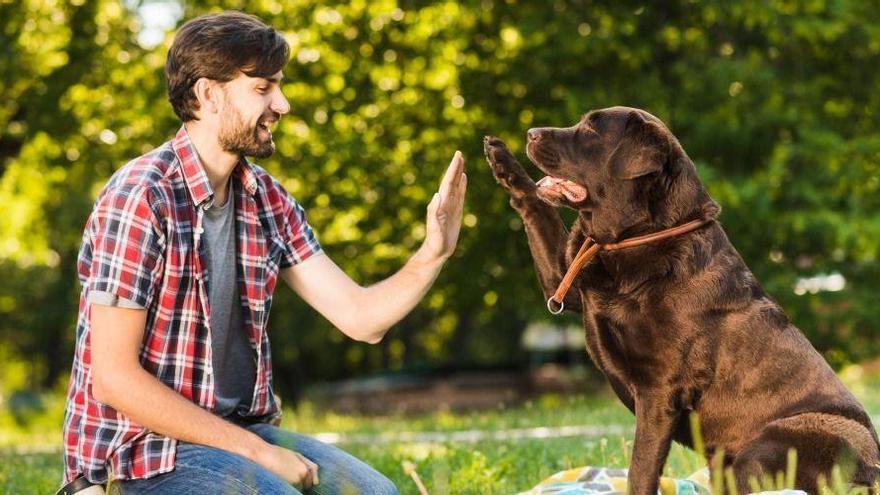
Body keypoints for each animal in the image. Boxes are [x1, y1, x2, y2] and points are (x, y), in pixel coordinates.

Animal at [484, 106, 876, 494]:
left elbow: (641, 469)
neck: (641, 237)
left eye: (592, 129)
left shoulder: (659, 391)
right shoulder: (566, 280)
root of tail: (871, 475)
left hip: (768, 447)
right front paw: (502, 159)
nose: (531, 132)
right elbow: (539, 210)